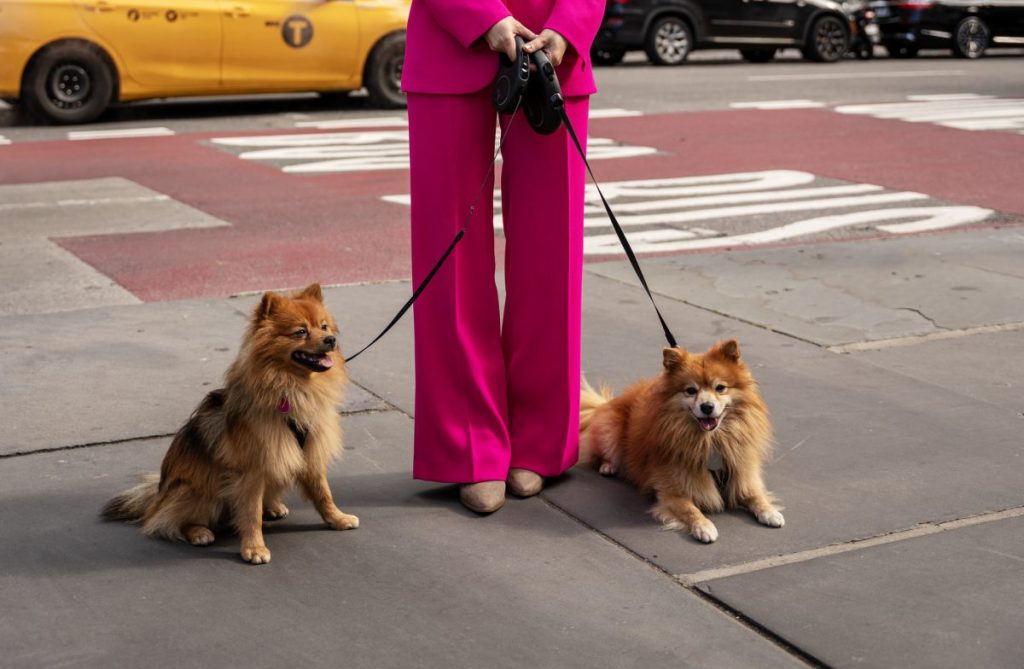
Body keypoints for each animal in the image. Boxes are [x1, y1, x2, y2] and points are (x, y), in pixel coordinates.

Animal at [102, 282, 360, 565]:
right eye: (301, 331)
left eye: (324, 327)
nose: (331, 340)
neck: (294, 388)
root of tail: (157, 496)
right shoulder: (253, 469)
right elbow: (250, 513)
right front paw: (254, 548)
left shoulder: (309, 453)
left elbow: (324, 494)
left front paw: (337, 519)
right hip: (199, 491)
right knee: (167, 521)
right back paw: (198, 532)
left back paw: (273, 507)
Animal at [585, 340, 782, 540]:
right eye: (691, 391)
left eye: (720, 388)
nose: (707, 406)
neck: (711, 441)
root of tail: (605, 404)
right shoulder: (672, 492)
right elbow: (690, 509)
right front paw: (704, 526)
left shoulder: (741, 475)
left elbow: (755, 495)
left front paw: (769, 511)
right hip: (611, 431)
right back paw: (608, 466)